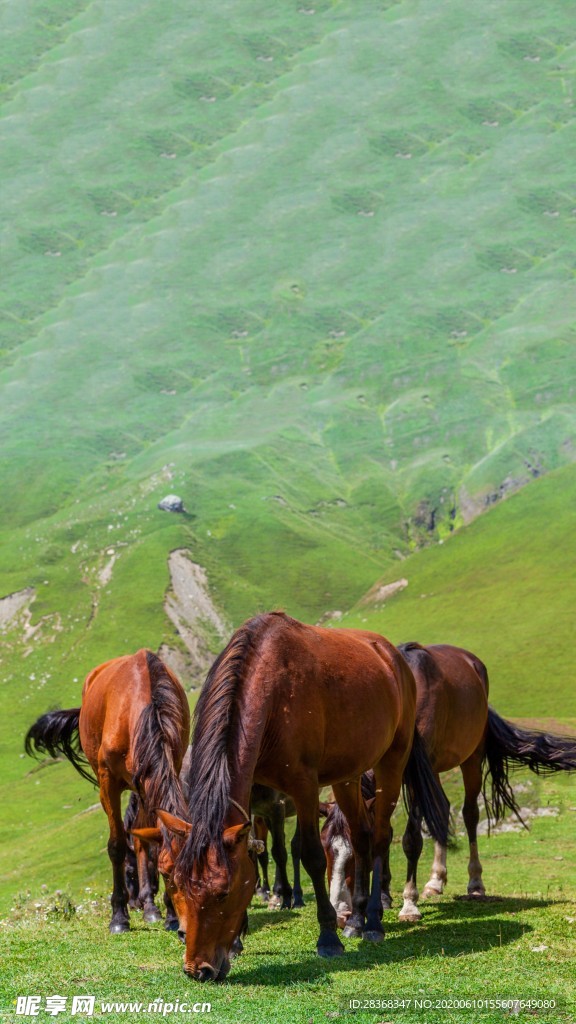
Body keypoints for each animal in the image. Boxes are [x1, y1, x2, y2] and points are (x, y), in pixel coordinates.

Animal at [25, 649, 190, 934]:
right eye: (167, 872)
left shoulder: (167, 770)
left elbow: (153, 842)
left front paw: (168, 914)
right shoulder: (108, 783)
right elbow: (116, 846)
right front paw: (119, 917)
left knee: (143, 840)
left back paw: (150, 908)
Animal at [154, 611, 452, 981]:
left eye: (223, 893)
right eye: (175, 884)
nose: (198, 970)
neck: (273, 695)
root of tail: (392, 655)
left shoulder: (305, 787)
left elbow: (311, 856)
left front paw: (328, 938)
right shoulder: (254, 797)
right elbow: (254, 851)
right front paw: (238, 940)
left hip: (392, 761)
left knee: (381, 836)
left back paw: (372, 921)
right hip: (347, 776)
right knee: (361, 836)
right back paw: (355, 920)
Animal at [321, 642, 576, 924]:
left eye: (356, 852)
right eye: (325, 847)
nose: (340, 913)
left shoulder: (414, 778)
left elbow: (411, 838)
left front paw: (409, 904)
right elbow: (385, 830)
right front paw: (385, 895)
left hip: (471, 758)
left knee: (470, 814)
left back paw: (475, 883)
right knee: (442, 810)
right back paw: (435, 881)